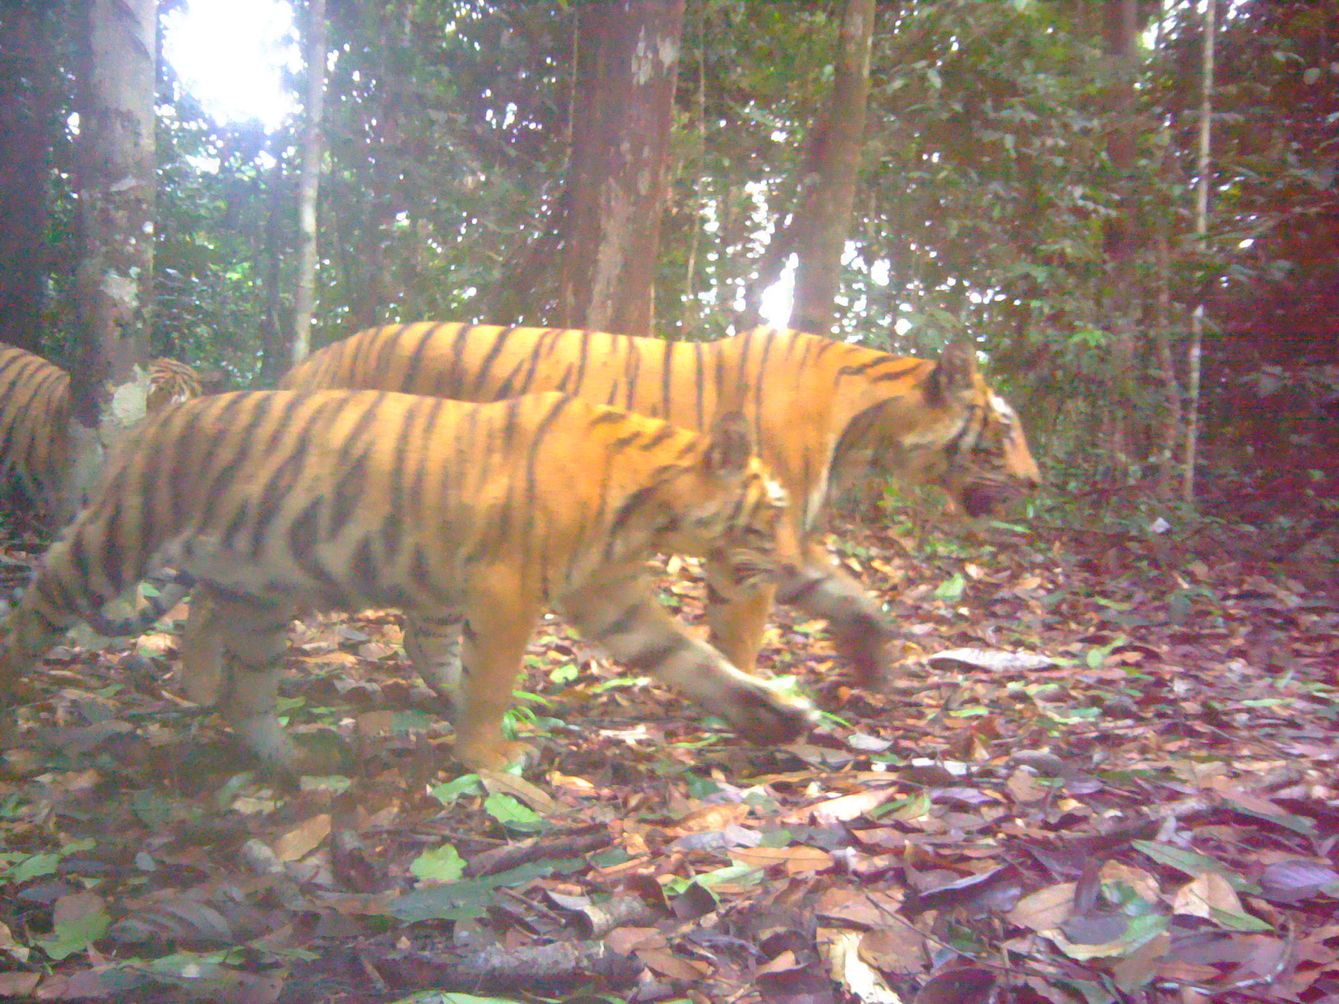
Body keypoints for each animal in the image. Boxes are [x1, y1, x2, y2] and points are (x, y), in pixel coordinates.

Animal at [0, 389, 909, 774]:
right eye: (767, 514)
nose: (803, 556)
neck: (646, 509)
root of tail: (161, 415)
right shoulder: (509, 591)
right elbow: (490, 681)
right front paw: (489, 759)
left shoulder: (611, 597)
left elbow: (694, 662)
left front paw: (775, 715)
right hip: (116, 537)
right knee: (36, 607)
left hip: (259, 593)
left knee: (243, 681)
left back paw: (290, 759)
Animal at [279, 323, 1043, 680]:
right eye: (1006, 430)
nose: (1037, 482)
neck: (869, 432)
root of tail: (311, 362)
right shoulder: (752, 550)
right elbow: (742, 635)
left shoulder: (789, 539)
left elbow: (846, 592)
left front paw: (872, 655)